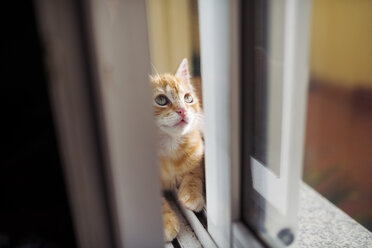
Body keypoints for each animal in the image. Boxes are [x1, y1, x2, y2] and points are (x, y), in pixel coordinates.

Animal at [150, 58, 205, 242]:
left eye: (188, 98)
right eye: (161, 100)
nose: (183, 110)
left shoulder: (199, 147)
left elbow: (195, 172)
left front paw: (191, 194)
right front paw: (166, 222)